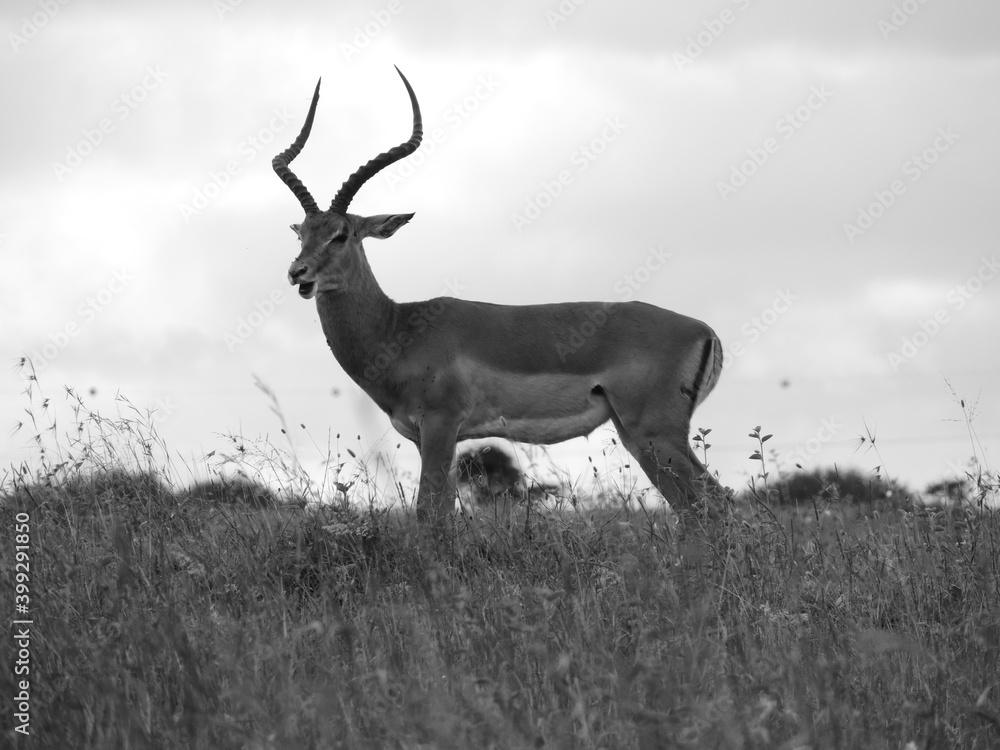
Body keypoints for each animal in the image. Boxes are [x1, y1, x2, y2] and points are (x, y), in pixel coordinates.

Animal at [272, 67, 723, 525]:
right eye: (302, 232)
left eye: (341, 234)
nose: (297, 273)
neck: (398, 330)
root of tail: (705, 331)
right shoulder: (424, 436)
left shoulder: (441, 425)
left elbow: (430, 514)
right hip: (636, 435)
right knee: (695, 506)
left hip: (655, 432)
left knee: (714, 502)